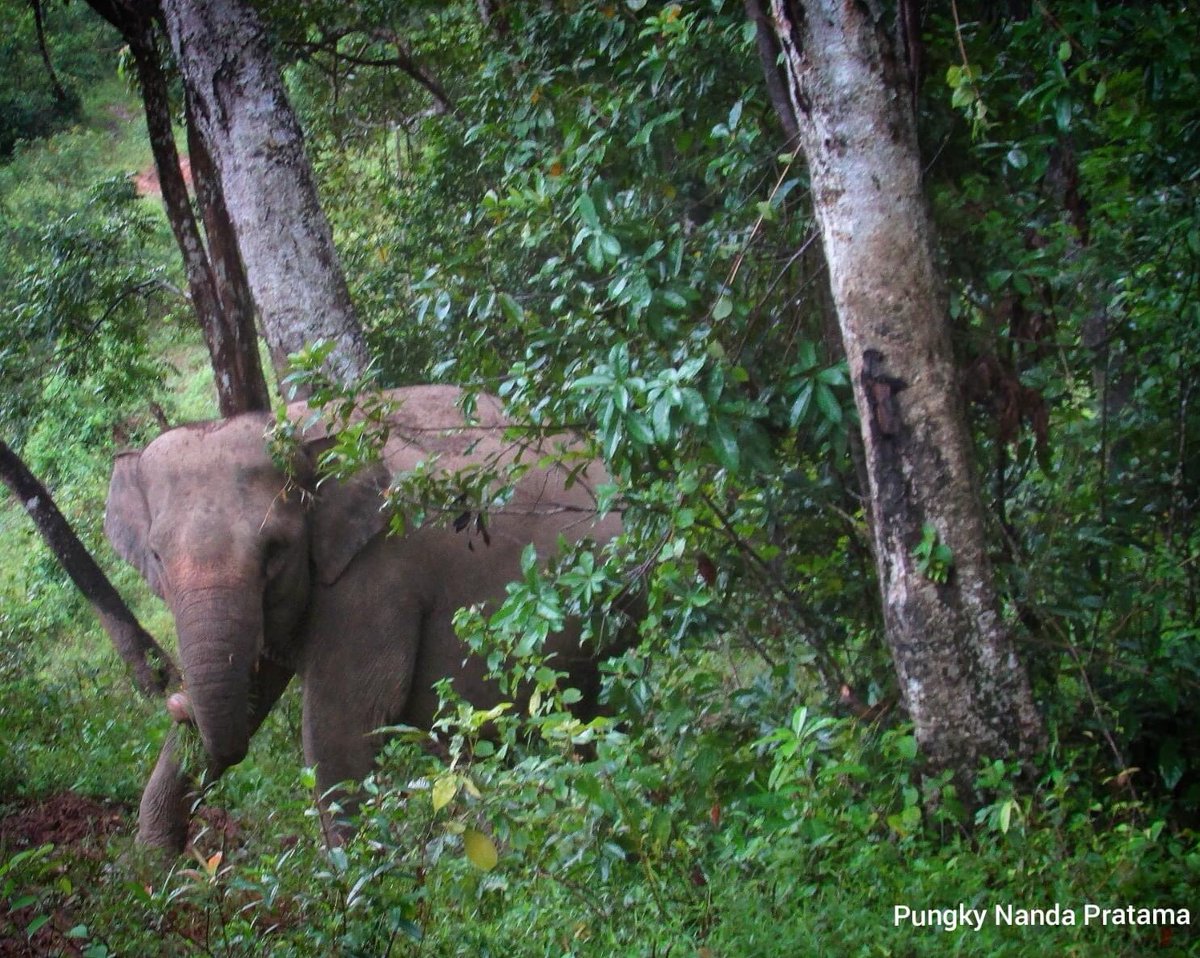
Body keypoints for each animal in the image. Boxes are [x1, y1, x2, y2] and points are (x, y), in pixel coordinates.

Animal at [105, 385, 627, 851]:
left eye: (275, 549)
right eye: (156, 555)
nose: (174, 698)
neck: (297, 429)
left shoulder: (376, 576)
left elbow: (340, 731)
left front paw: (361, 879)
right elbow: (254, 698)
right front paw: (151, 871)